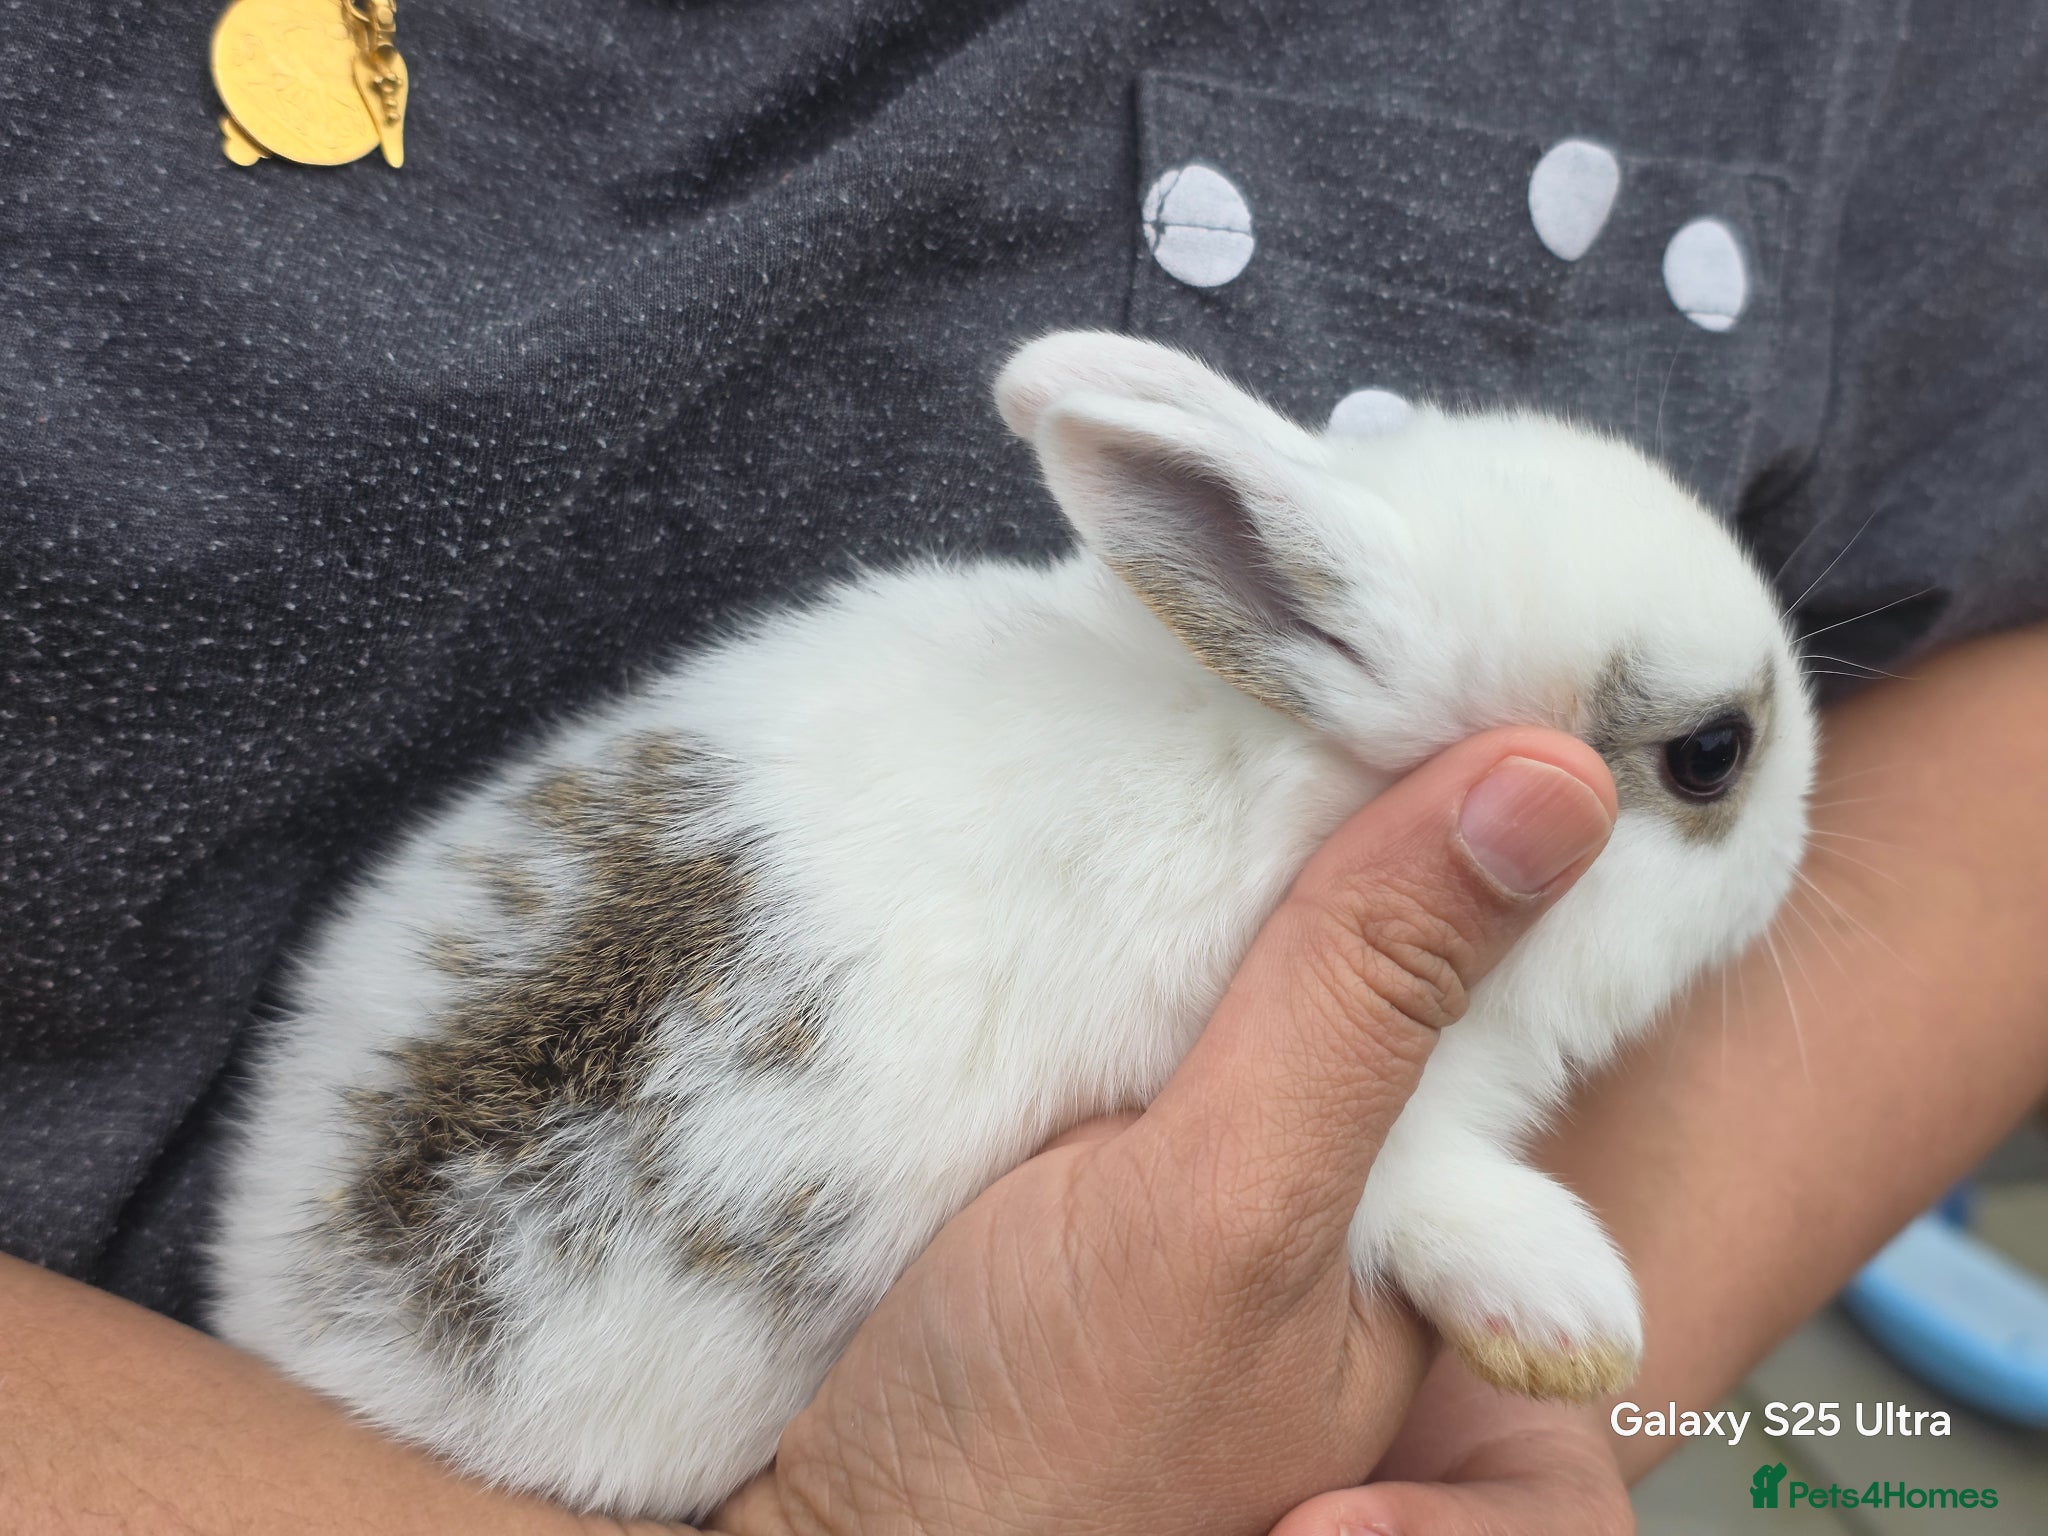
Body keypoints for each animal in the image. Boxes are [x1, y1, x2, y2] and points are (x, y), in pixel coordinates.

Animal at [209, 330, 1816, 1520]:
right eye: (1711, 755)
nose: (1799, 846)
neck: (1276, 766)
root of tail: (268, 1303)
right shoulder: (1340, 1124)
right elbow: (1428, 1198)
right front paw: (1573, 1320)